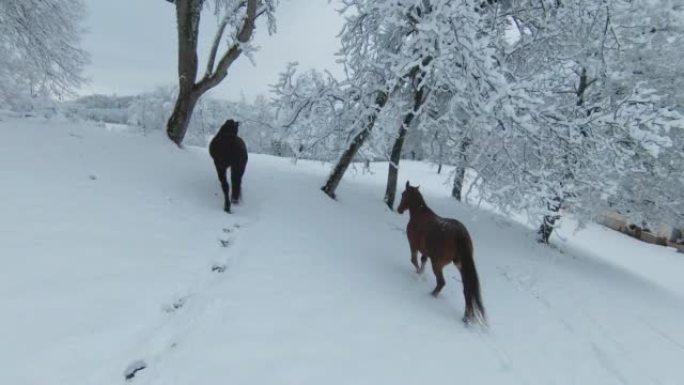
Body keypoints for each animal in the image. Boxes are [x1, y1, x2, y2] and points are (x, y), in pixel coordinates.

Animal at [396, 181, 486, 324]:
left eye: (403, 194)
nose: (399, 210)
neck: (419, 215)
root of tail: (460, 234)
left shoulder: (413, 246)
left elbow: (414, 261)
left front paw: (419, 276)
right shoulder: (426, 252)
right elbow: (422, 262)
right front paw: (421, 274)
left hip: (437, 263)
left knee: (441, 282)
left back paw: (432, 295)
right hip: (460, 266)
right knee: (467, 289)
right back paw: (466, 318)